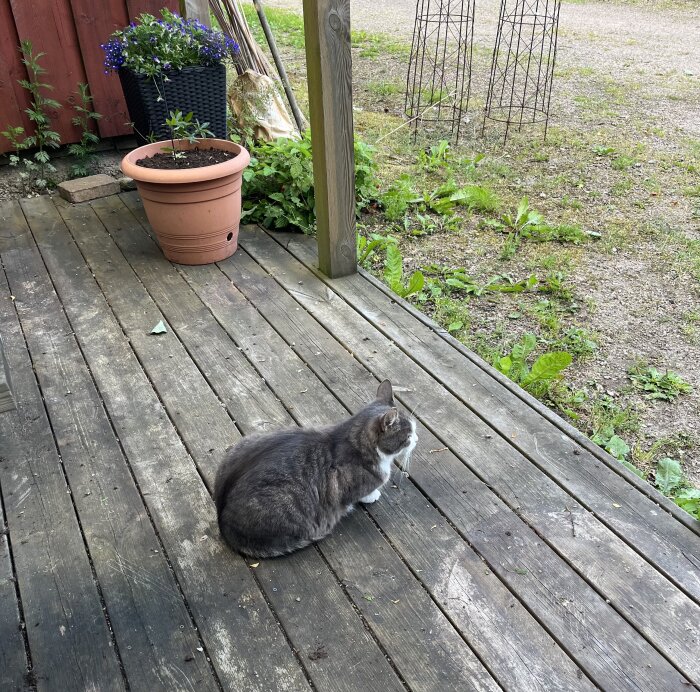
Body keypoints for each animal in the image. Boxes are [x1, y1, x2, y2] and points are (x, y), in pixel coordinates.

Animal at [215, 382, 416, 560]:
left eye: (414, 430)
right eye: (408, 436)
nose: (417, 439)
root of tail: (222, 523)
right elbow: (360, 494)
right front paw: (371, 495)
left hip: (244, 444)